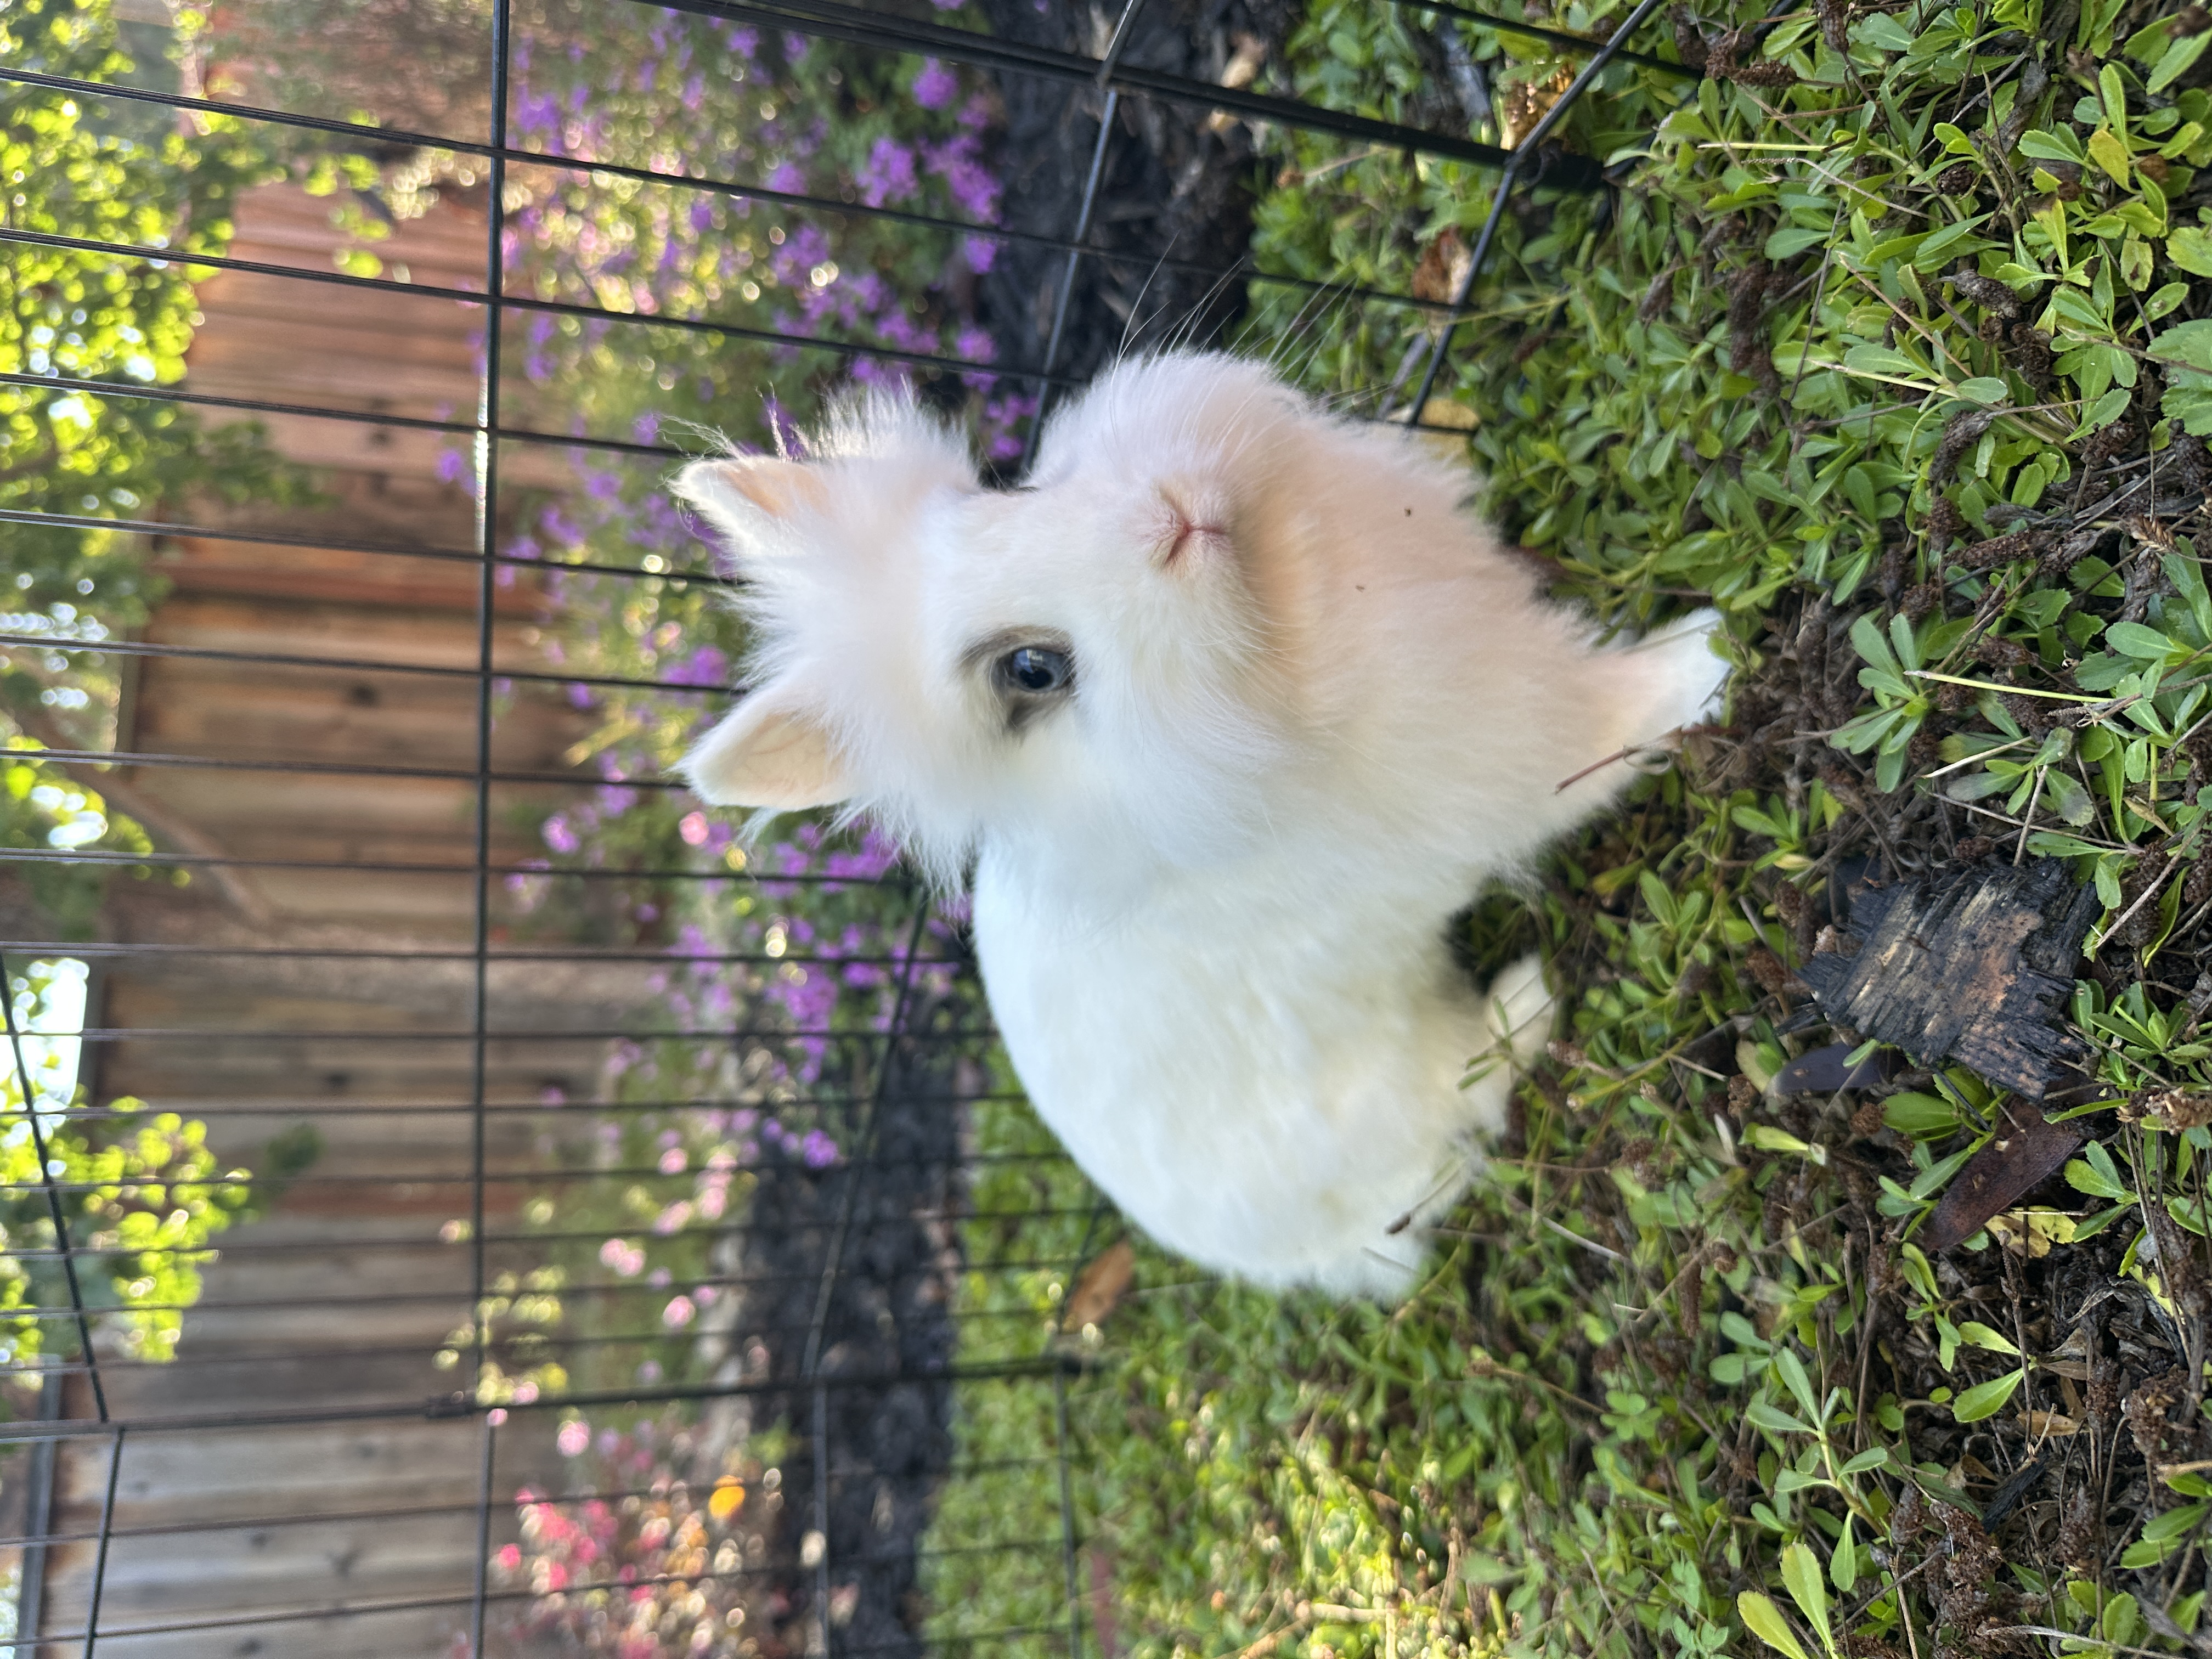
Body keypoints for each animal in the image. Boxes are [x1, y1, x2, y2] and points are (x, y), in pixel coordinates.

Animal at [672, 350, 1729, 1298]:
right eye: (1033, 670)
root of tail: (1312, 1260)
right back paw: (1531, 997)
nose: (1170, 517)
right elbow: (1611, 722)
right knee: (1478, 1083)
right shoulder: (1502, 752)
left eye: (1017, 492)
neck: (1283, 618)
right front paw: (1709, 658)